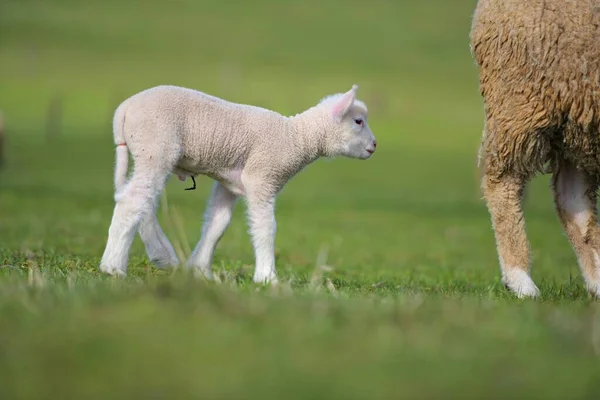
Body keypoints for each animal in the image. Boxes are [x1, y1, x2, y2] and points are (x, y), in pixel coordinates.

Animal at [101, 84, 378, 284]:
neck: (295, 137)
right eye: (358, 121)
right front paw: (267, 278)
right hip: (156, 148)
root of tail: (124, 109)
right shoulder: (262, 177)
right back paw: (113, 267)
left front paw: (200, 270)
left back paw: (163, 256)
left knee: (141, 201)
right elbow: (266, 228)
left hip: (150, 154)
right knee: (132, 201)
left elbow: (217, 223)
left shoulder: (228, 183)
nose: (374, 145)